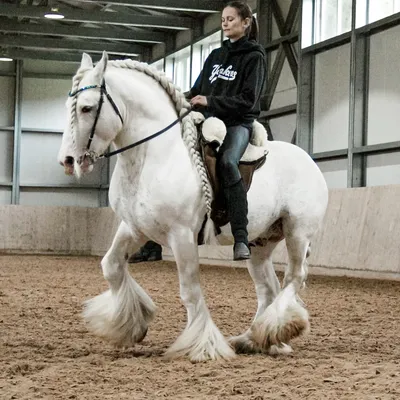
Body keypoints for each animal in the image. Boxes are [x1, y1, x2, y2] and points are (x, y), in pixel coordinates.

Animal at [59, 51, 328, 360]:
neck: (156, 154)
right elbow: (111, 266)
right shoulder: (134, 228)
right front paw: (131, 326)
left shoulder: (182, 235)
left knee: (294, 278)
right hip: (260, 243)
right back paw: (257, 338)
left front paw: (202, 345)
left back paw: (276, 330)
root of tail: (308, 161)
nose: (67, 160)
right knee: (268, 288)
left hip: (298, 233)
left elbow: (189, 290)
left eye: (87, 108)